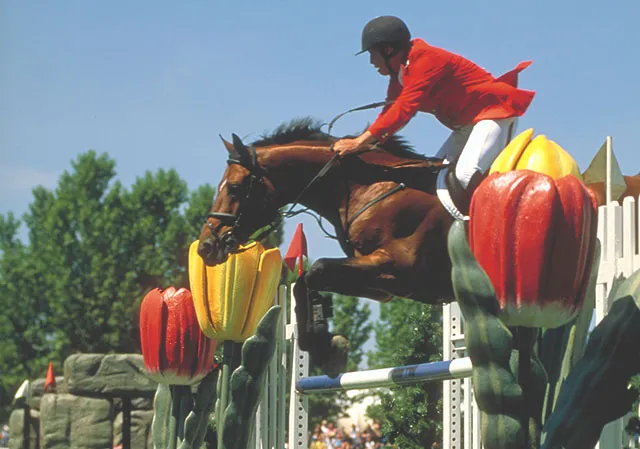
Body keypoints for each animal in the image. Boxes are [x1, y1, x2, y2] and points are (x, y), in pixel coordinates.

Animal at [198, 116, 452, 374]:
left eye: (234, 188)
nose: (205, 247)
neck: (367, 187)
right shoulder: (381, 286)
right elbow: (304, 281)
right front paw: (322, 345)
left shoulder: (398, 268)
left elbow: (317, 269)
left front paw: (324, 343)